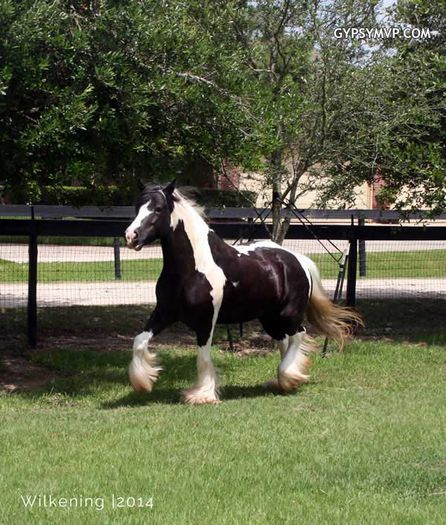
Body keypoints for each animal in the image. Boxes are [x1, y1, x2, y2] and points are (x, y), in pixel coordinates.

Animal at [124, 178, 358, 404]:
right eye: (137, 206)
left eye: (158, 208)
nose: (130, 236)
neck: (193, 267)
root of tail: (297, 259)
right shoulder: (165, 313)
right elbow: (139, 341)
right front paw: (142, 383)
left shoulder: (205, 321)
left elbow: (203, 358)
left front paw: (202, 395)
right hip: (269, 319)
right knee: (285, 341)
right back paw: (283, 382)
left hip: (288, 314)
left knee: (299, 335)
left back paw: (289, 376)